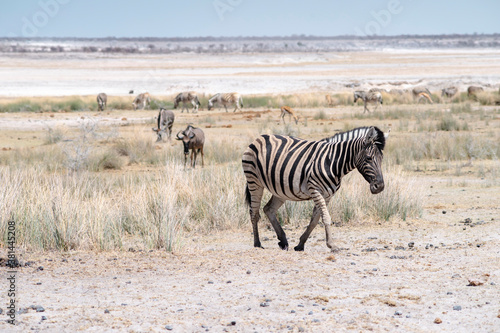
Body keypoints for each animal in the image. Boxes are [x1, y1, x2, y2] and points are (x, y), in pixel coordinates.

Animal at [241, 126, 386, 250]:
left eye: (382, 159)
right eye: (368, 158)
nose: (380, 187)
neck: (333, 162)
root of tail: (260, 137)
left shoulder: (328, 195)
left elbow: (315, 220)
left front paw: (300, 244)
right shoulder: (315, 189)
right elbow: (326, 218)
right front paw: (332, 245)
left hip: (279, 189)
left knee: (268, 209)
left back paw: (283, 241)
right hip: (254, 181)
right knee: (254, 213)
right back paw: (257, 243)